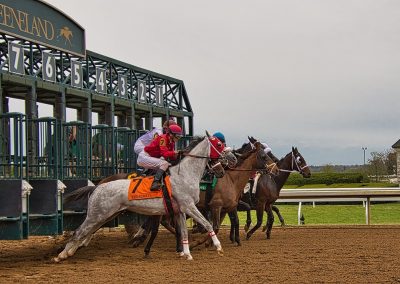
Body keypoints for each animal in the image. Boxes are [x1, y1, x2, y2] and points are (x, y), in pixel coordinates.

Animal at [55, 133, 239, 262]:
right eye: (219, 144)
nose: (232, 158)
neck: (185, 174)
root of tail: (97, 186)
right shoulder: (189, 206)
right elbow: (207, 224)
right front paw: (218, 247)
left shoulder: (180, 210)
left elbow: (184, 232)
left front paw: (186, 254)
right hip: (97, 214)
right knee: (79, 232)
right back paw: (61, 255)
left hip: (105, 215)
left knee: (86, 232)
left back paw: (69, 251)